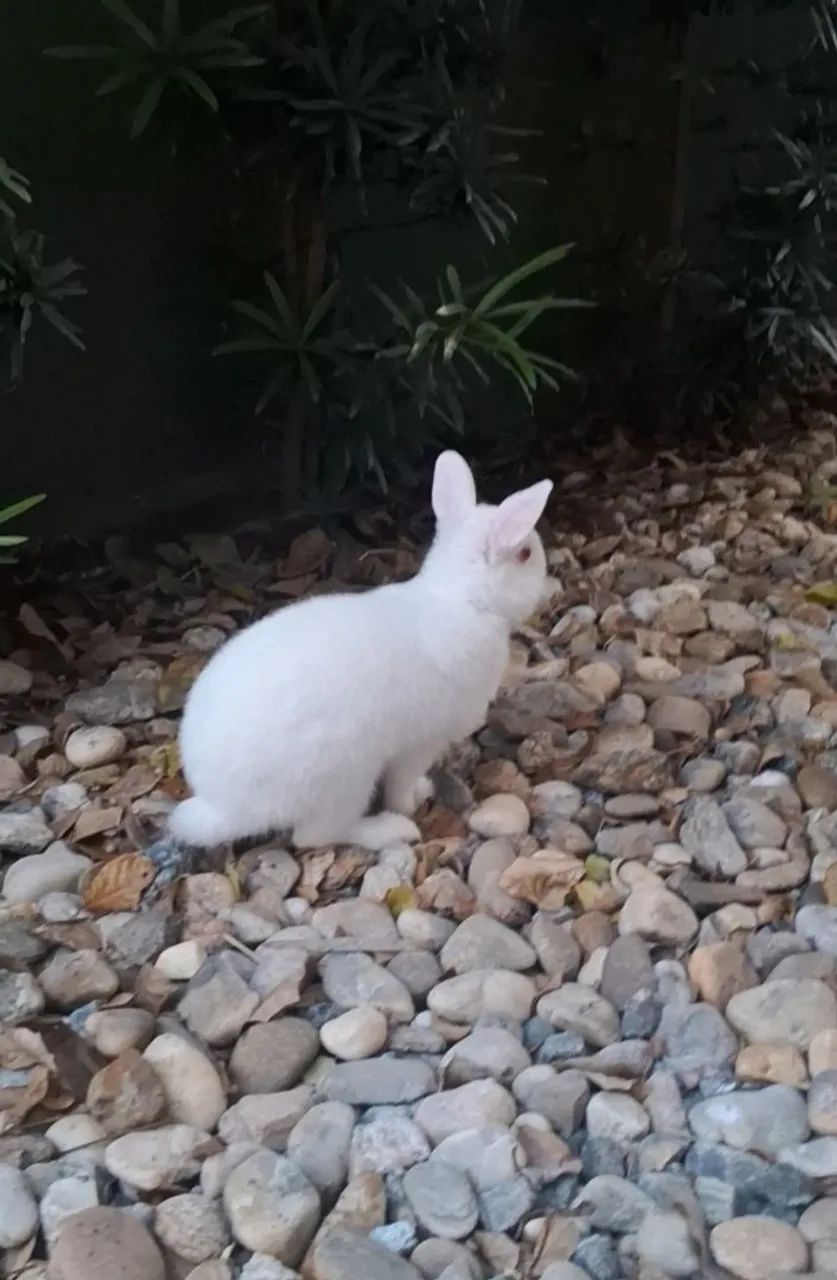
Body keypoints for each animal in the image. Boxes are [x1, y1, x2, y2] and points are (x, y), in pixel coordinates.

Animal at [168, 450, 553, 853]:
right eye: (526, 554)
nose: (547, 584)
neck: (463, 597)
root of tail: (226, 808)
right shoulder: (421, 743)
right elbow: (401, 783)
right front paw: (413, 800)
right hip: (346, 777)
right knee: (314, 836)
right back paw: (389, 830)